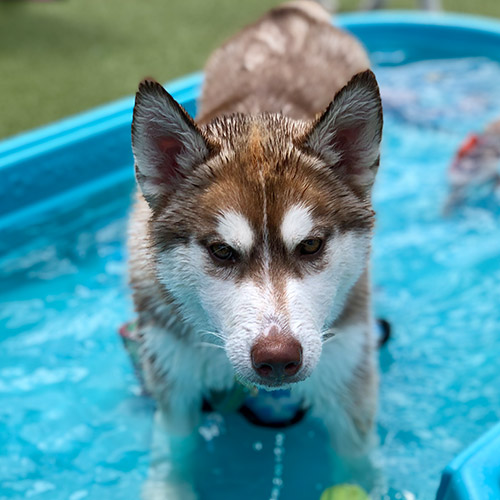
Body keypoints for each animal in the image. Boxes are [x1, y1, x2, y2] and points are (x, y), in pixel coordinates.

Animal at [129, 1, 382, 498]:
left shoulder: (348, 383)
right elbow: (173, 455)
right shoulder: (174, 377)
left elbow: (357, 465)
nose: (278, 358)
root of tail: (290, 14)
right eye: (222, 251)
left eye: (310, 245)